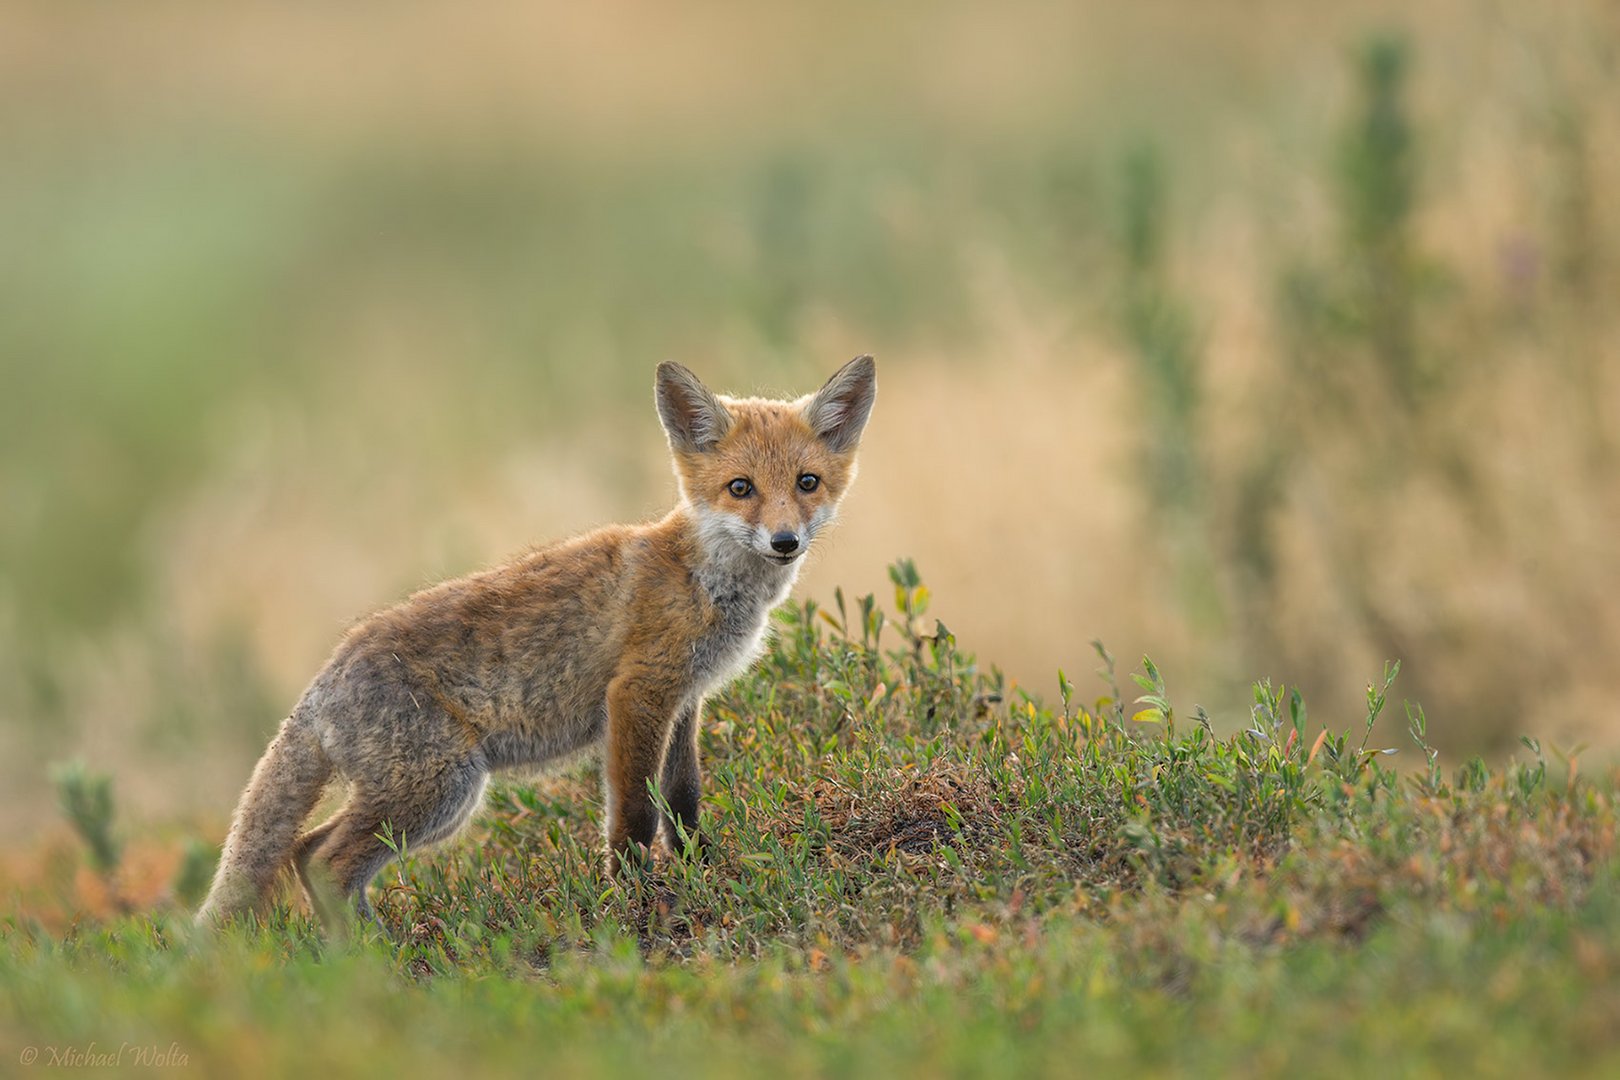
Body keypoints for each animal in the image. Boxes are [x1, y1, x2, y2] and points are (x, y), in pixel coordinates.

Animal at [196, 356, 881, 932]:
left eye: (807, 482)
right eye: (741, 488)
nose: (786, 541)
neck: (702, 579)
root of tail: (323, 680)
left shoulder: (685, 698)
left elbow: (682, 803)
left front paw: (702, 872)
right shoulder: (637, 695)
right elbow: (635, 814)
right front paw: (633, 900)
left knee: (306, 851)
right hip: (441, 789)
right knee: (324, 861)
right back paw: (371, 958)